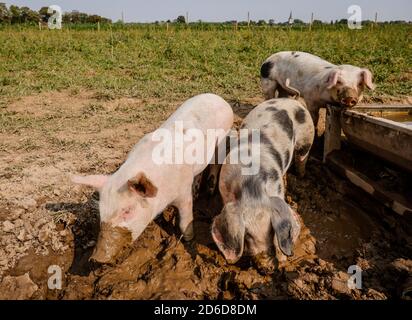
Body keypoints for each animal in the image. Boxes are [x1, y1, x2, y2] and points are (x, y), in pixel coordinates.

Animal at [72, 92, 233, 262]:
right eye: (101, 211)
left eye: (127, 211)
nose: (97, 258)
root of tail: (218, 98)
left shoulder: (183, 193)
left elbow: (185, 221)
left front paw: (189, 241)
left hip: (223, 139)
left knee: (216, 163)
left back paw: (209, 191)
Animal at [211, 97, 314, 264]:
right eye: (247, 235)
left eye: (271, 231)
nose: (266, 261)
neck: (251, 188)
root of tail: (291, 100)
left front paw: (282, 260)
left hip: (307, 137)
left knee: (302, 157)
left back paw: (301, 176)